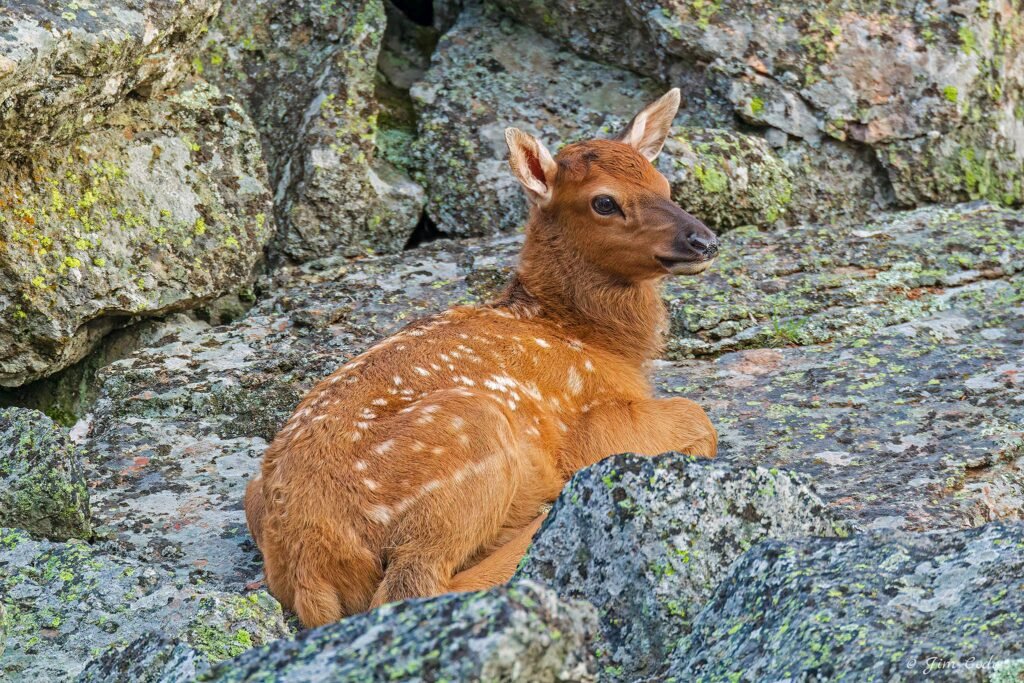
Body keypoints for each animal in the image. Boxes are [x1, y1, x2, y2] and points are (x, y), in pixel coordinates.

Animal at [244, 88, 720, 628]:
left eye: (664, 183)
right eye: (604, 201)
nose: (704, 240)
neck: (589, 338)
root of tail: (309, 560)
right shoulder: (593, 424)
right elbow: (699, 417)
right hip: (471, 434)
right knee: (412, 587)